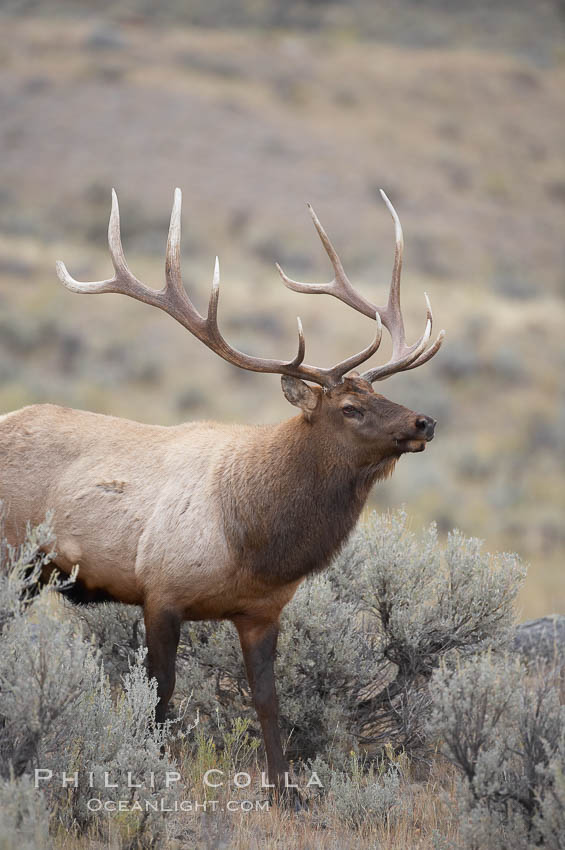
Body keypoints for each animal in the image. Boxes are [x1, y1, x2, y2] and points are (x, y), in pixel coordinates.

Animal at [0, 186, 440, 796]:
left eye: (381, 397)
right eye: (351, 407)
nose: (424, 421)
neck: (253, 541)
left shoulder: (262, 612)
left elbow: (268, 701)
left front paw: (287, 794)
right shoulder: (160, 591)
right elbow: (160, 696)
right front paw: (152, 776)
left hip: (32, 573)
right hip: (12, 554)